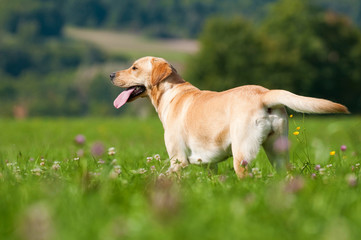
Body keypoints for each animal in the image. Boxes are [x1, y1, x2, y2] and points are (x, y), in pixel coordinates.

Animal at [109, 56, 348, 178]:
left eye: (134, 67)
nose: (110, 74)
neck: (171, 93)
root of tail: (264, 93)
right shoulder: (208, 164)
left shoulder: (178, 160)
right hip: (278, 150)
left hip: (241, 153)